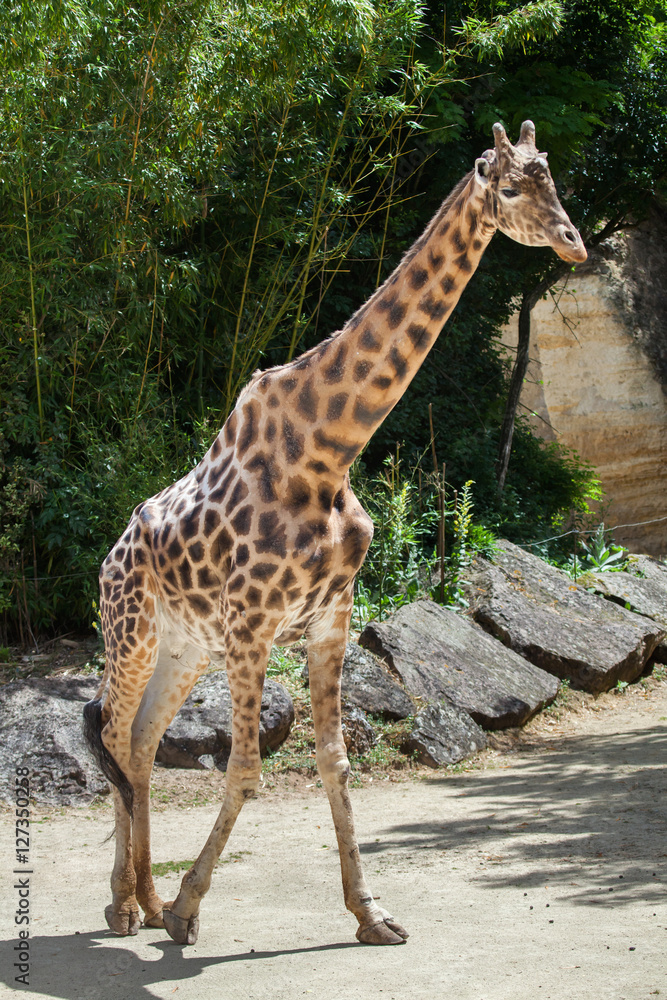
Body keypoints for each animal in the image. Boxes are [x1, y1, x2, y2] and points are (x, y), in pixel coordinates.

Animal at [84, 120, 586, 947]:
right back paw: (128, 906)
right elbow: (246, 769)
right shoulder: (253, 627)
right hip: (132, 631)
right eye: (511, 187)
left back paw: (141, 901)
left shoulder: (329, 620)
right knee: (114, 728)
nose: (573, 244)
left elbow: (335, 763)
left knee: (143, 741)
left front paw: (370, 913)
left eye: (554, 180)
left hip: (185, 645)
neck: (328, 451)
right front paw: (189, 911)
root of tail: (110, 553)